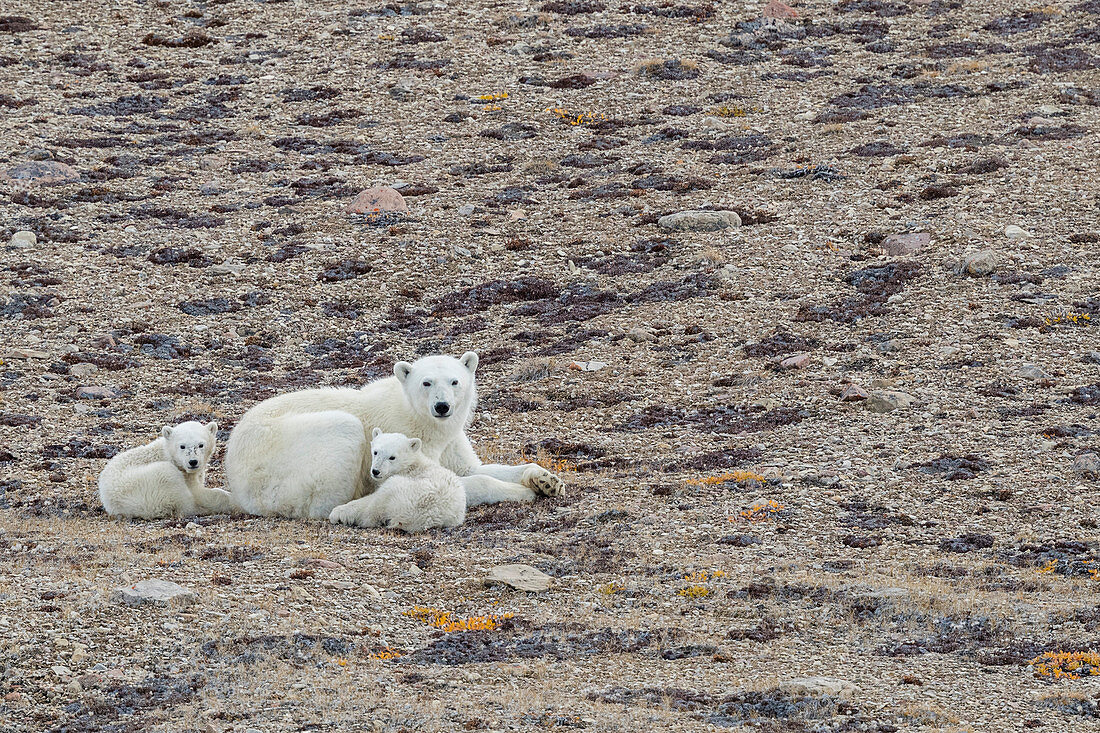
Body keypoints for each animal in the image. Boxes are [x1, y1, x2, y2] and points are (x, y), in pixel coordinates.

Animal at [99, 420, 238, 517]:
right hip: (146, 485)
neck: (166, 453)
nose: (193, 462)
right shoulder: (183, 473)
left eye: (201, 445)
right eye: (182, 446)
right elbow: (199, 492)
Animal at [223, 349, 567, 517]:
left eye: (455, 381)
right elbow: (458, 480)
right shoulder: (400, 443)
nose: (442, 406)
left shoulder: (449, 441)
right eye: (426, 382)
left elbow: (471, 467)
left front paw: (546, 480)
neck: (420, 419)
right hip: (279, 462)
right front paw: (523, 492)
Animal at [325, 429, 464, 530]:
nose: (376, 471)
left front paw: (338, 512)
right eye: (375, 452)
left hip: (403, 491)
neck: (411, 465)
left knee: (374, 507)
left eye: (392, 457)